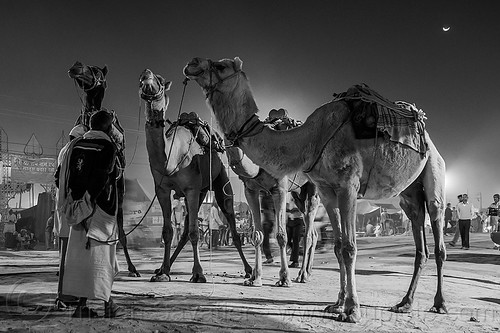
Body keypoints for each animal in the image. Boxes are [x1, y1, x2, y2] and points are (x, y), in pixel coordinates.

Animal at [139, 68, 252, 282]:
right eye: (140, 79)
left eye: (160, 80)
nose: (146, 74)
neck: (171, 158)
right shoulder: (162, 189)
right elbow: (168, 231)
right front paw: (163, 272)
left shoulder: (191, 189)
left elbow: (194, 232)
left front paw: (198, 273)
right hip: (201, 192)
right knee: (183, 231)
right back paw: (163, 268)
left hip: (218, 183)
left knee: (231, 225)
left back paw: (249, 269)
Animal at [227, 114, 320, 286]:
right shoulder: (250, 190)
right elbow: (257, 234)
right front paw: (255, 278)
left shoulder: (280, 188)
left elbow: (281, 236)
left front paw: (284, 278)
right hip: (298, 193)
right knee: (312, 230)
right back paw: (308, 272)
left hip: (312, 185)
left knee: (308, 232)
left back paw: (302, 275)